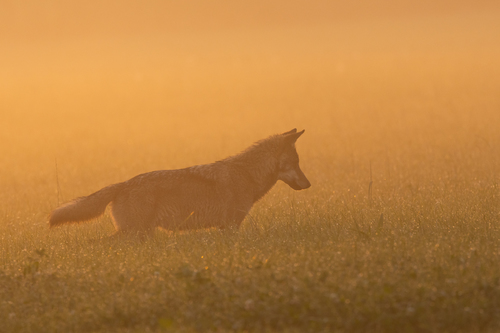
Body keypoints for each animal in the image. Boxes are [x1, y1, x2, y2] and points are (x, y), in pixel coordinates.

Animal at [48, 128, 310, 235]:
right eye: (296, 163)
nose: (309, 185)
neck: (247, 174)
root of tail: (123, 184)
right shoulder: (231, 226)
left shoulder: (225, 227)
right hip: (133, 234)